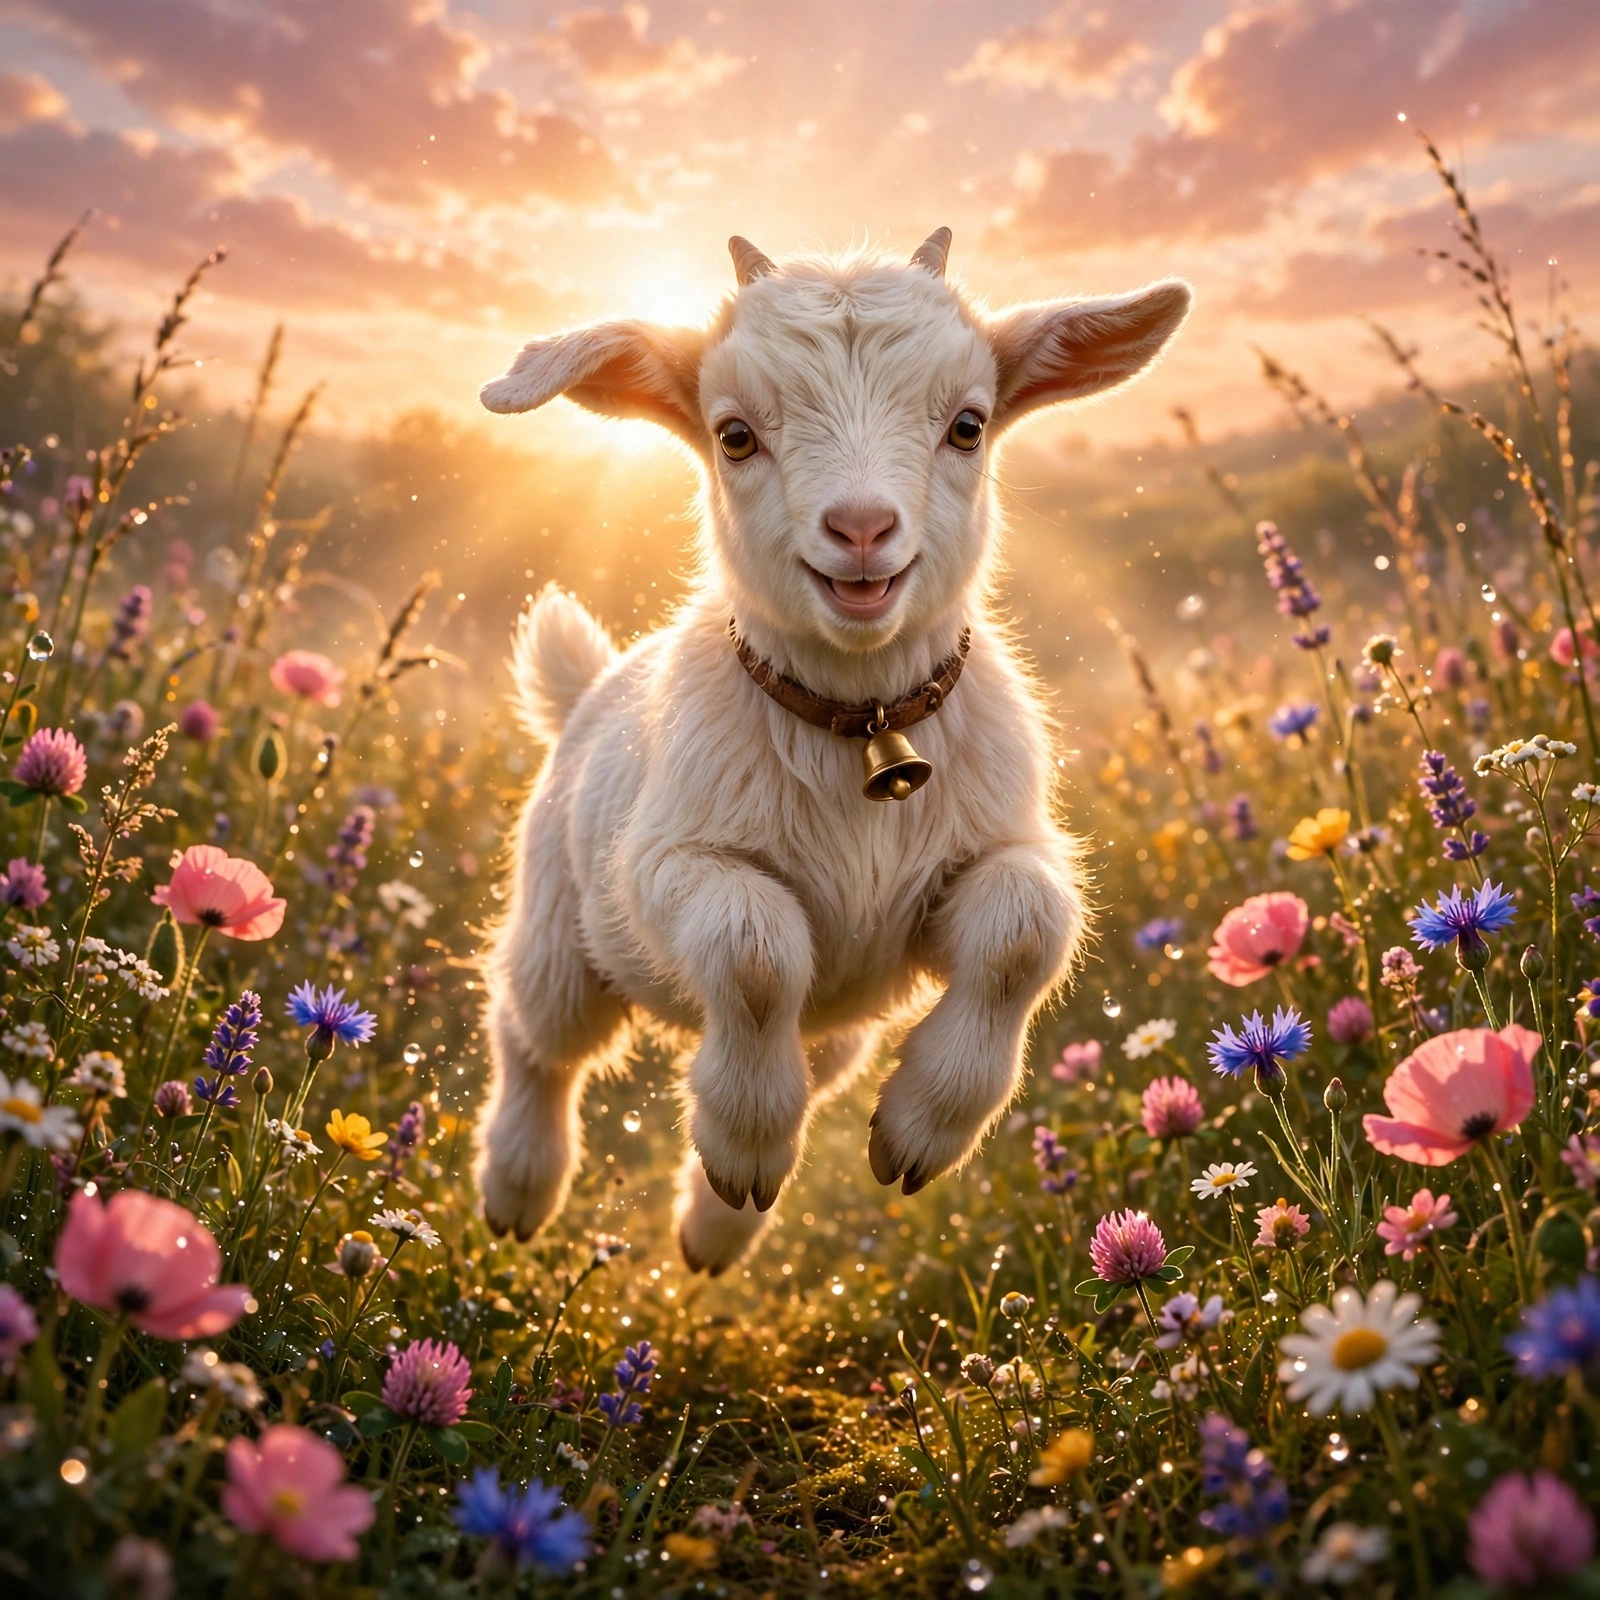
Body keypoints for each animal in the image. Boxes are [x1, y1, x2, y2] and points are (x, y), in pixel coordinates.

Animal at [476, 229, 1190, 1274]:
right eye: (735, 435)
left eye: (968, 425)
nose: (861, 530)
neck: (860, 733)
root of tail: (587, 690)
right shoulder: (663, 867)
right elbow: (756, 952)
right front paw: (744, 1143)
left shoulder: (993, 853)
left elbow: (1023, 930)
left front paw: (917, 1133)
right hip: (565, 936)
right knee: (535, 1040)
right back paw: (519, 1189)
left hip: (842, 1021)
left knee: (812, 1066)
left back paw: (714, 1231)